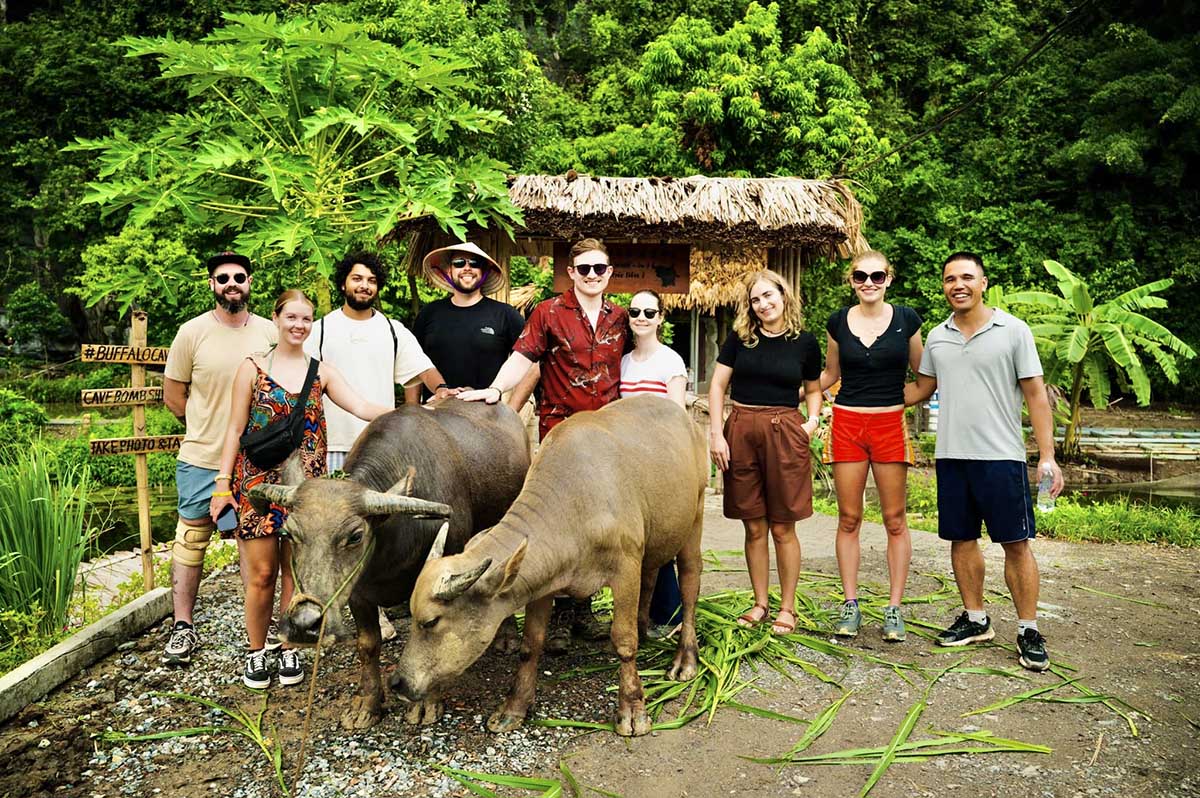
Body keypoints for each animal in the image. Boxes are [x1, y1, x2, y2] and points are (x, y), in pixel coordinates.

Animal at [250, 398, 528, 729]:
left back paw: (508, 637)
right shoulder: (358, 591)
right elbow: (368, 644)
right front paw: (367, 705)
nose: (305, 623)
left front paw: (426, 704)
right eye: (288, 533)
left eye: (355, 536)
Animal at [393, 396, 705, 739]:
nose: (398, 683)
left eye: (431, 622)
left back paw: (685, 659)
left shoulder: (625, 567)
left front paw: (632, 709)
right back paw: (644, 629)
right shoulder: (543, 582)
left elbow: (623, 641)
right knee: (650, 578)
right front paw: (513, 708)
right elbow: (531, 644)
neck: (576, 503)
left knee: (690, 585)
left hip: (695, 516)